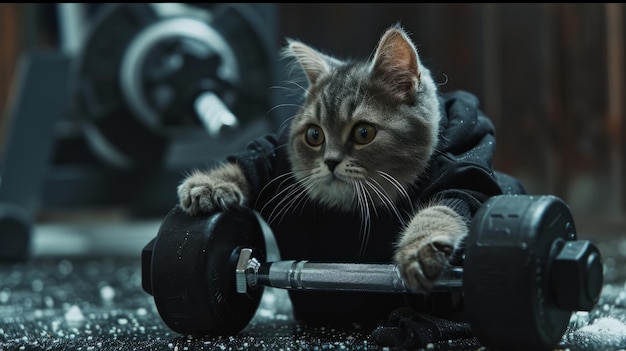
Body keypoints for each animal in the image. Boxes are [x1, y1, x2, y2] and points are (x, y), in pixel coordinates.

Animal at [176, 24, 520, 328]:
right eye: (314, 135)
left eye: (363, 133)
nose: (330, 161)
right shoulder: (271, 155)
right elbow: (249, 161)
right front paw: (207, 184)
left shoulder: (464, 170)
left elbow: (446, 205)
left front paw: (421, 249)